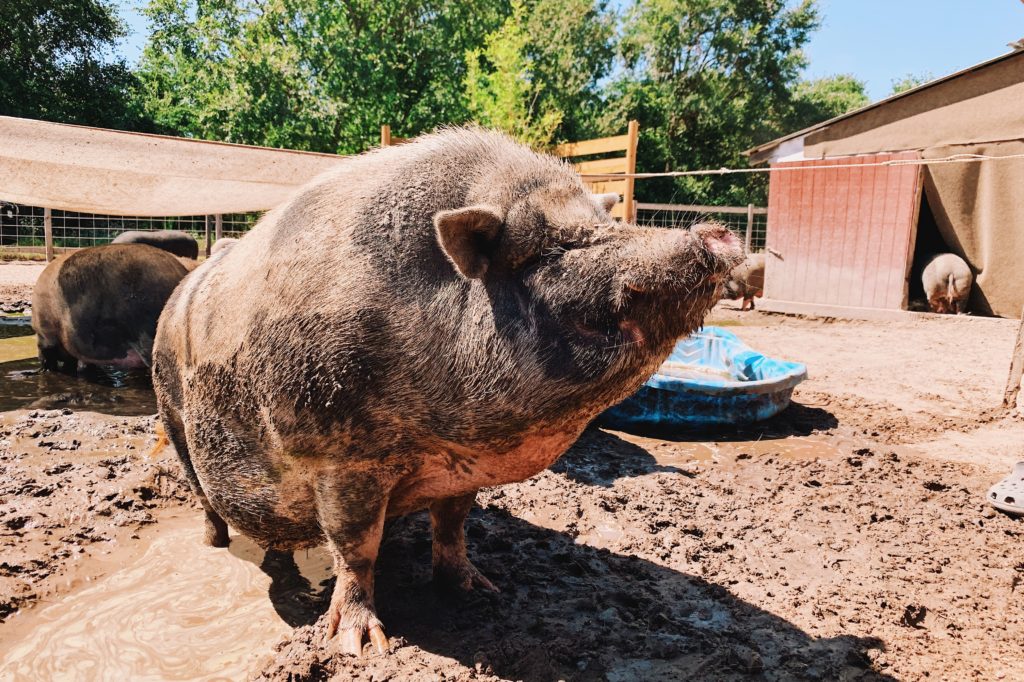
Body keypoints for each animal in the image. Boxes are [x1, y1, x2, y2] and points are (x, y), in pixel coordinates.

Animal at [152, 128, 744, 656]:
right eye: (556, 246)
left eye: (604, 223)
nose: (712, 233)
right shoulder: (341, 460)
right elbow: (355, 548)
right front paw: (364, 646)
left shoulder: (461, 468)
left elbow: (454, 525)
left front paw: (480, 590)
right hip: (170, 413)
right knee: (204, 496)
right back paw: (214, 545)